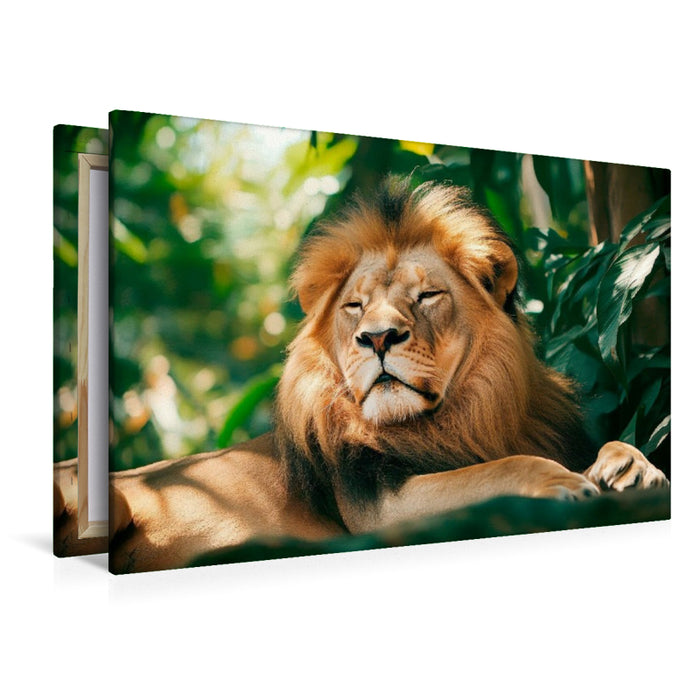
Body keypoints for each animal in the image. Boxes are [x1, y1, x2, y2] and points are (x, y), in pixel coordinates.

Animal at [103, 177, 668, 573]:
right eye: (355, 306)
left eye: (428, 295)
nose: (377, 338)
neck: (469, 415)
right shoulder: (381, 510)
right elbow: (497, 469)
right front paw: (560, 480)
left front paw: (630, 467)